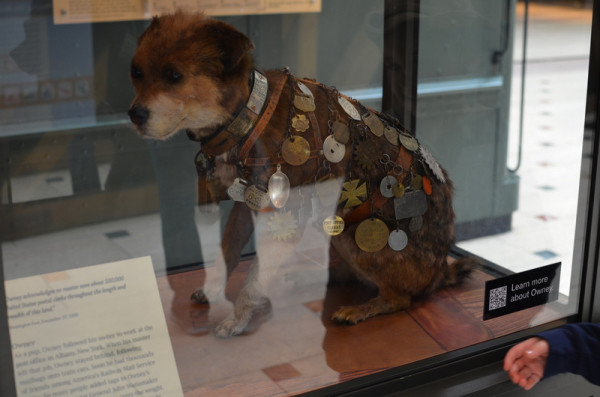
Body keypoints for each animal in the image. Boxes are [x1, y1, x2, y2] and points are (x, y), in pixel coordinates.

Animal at [129, 10, 476, 336]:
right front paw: (213, 290)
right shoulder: (246, 205)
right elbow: (227, 251)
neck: (251, 116)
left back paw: (359, 309)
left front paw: (237, 320)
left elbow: (253, 278)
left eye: (174, 75)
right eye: (136, 72)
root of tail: (438, 273)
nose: (134, 114)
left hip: (356, 238)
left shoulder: (284, 217)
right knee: (350, 274)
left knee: (400, 298)